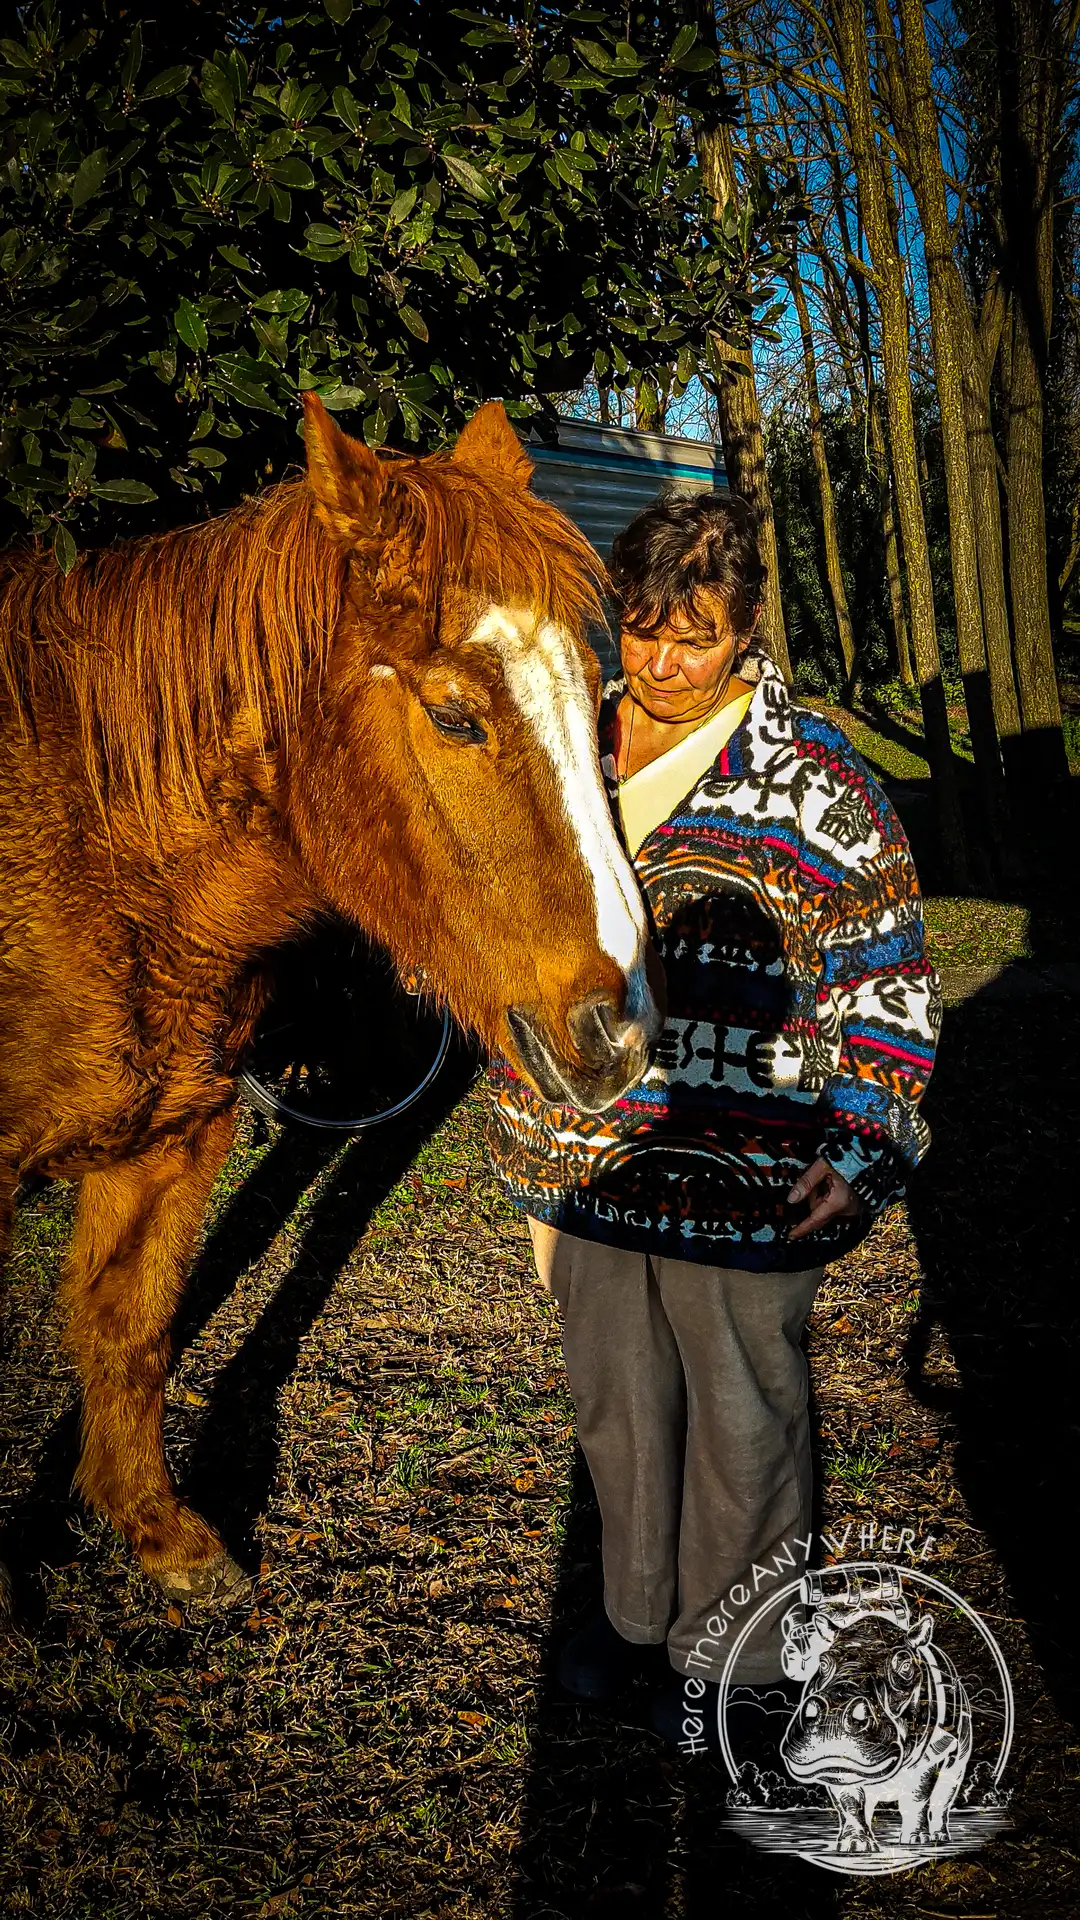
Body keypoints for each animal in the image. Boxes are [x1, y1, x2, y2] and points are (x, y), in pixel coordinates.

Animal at [0, 397, 657, 1612]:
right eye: (454, 717)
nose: (622, 1027)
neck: (88, 847)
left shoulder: (173, 1142)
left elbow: (131, 1333)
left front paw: (159, 1534)